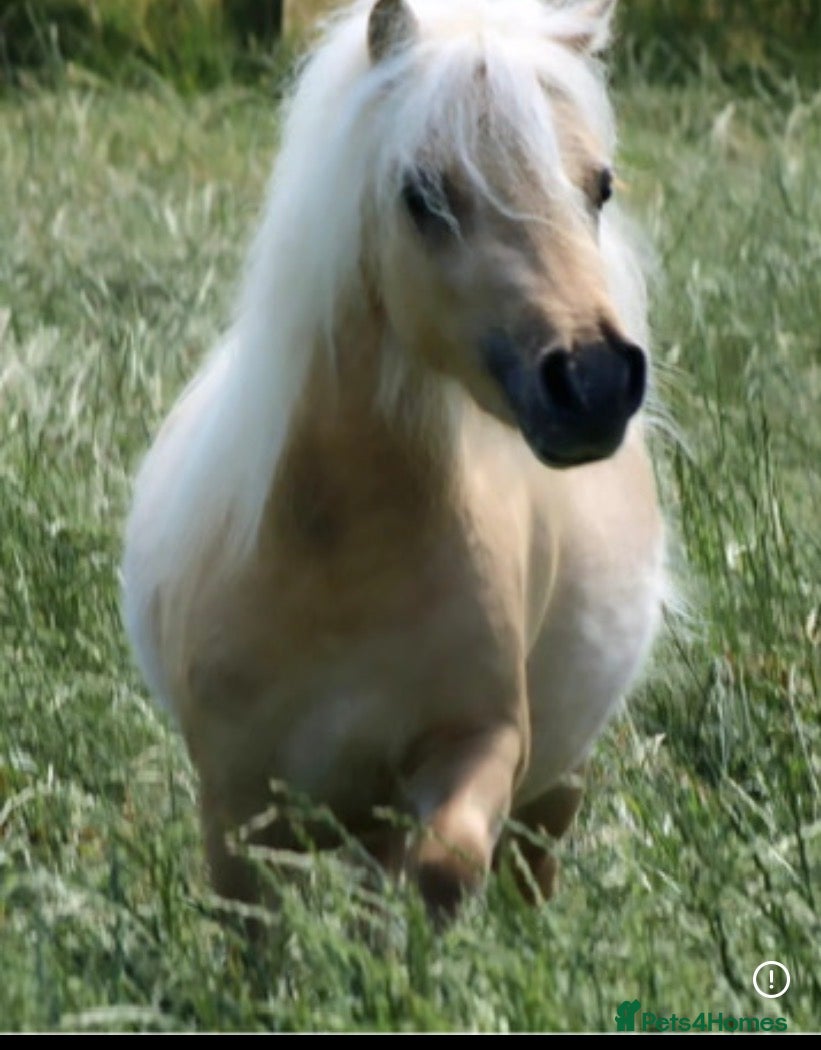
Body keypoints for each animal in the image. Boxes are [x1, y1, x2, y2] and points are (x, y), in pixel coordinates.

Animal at [122, 0, 666, 919]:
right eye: (423, 196)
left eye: (599, 187)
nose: (594, 381)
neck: (337, 560)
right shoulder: (235, 809)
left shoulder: (478, 743)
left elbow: (444, 867)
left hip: (555, 783)